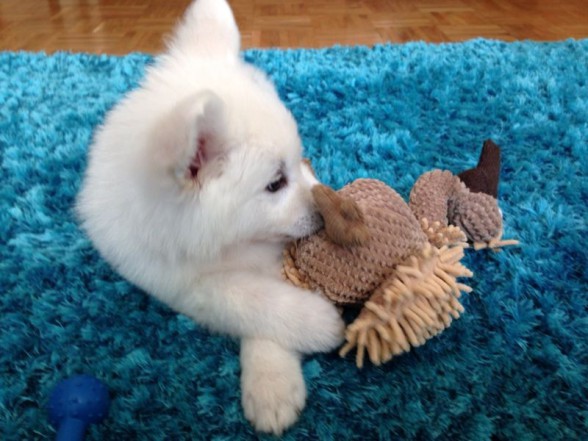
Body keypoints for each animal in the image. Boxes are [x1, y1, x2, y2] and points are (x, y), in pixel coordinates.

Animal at [76, 0, 344, 435]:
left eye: (298, 161)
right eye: (275, 183)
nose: (328, 210)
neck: (226, 244)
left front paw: (272, 381)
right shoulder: (176, 283)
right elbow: (249, 298)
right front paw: (317, 322)